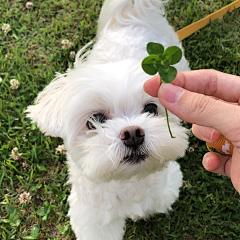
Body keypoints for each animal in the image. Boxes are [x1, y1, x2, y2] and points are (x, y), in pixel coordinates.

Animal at [27, 0, 190, 240]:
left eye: (151, 108)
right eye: (95, 119)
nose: (132, 133)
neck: (127, 182)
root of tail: (130, 13)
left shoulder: (165, 188)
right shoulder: (93, 218)